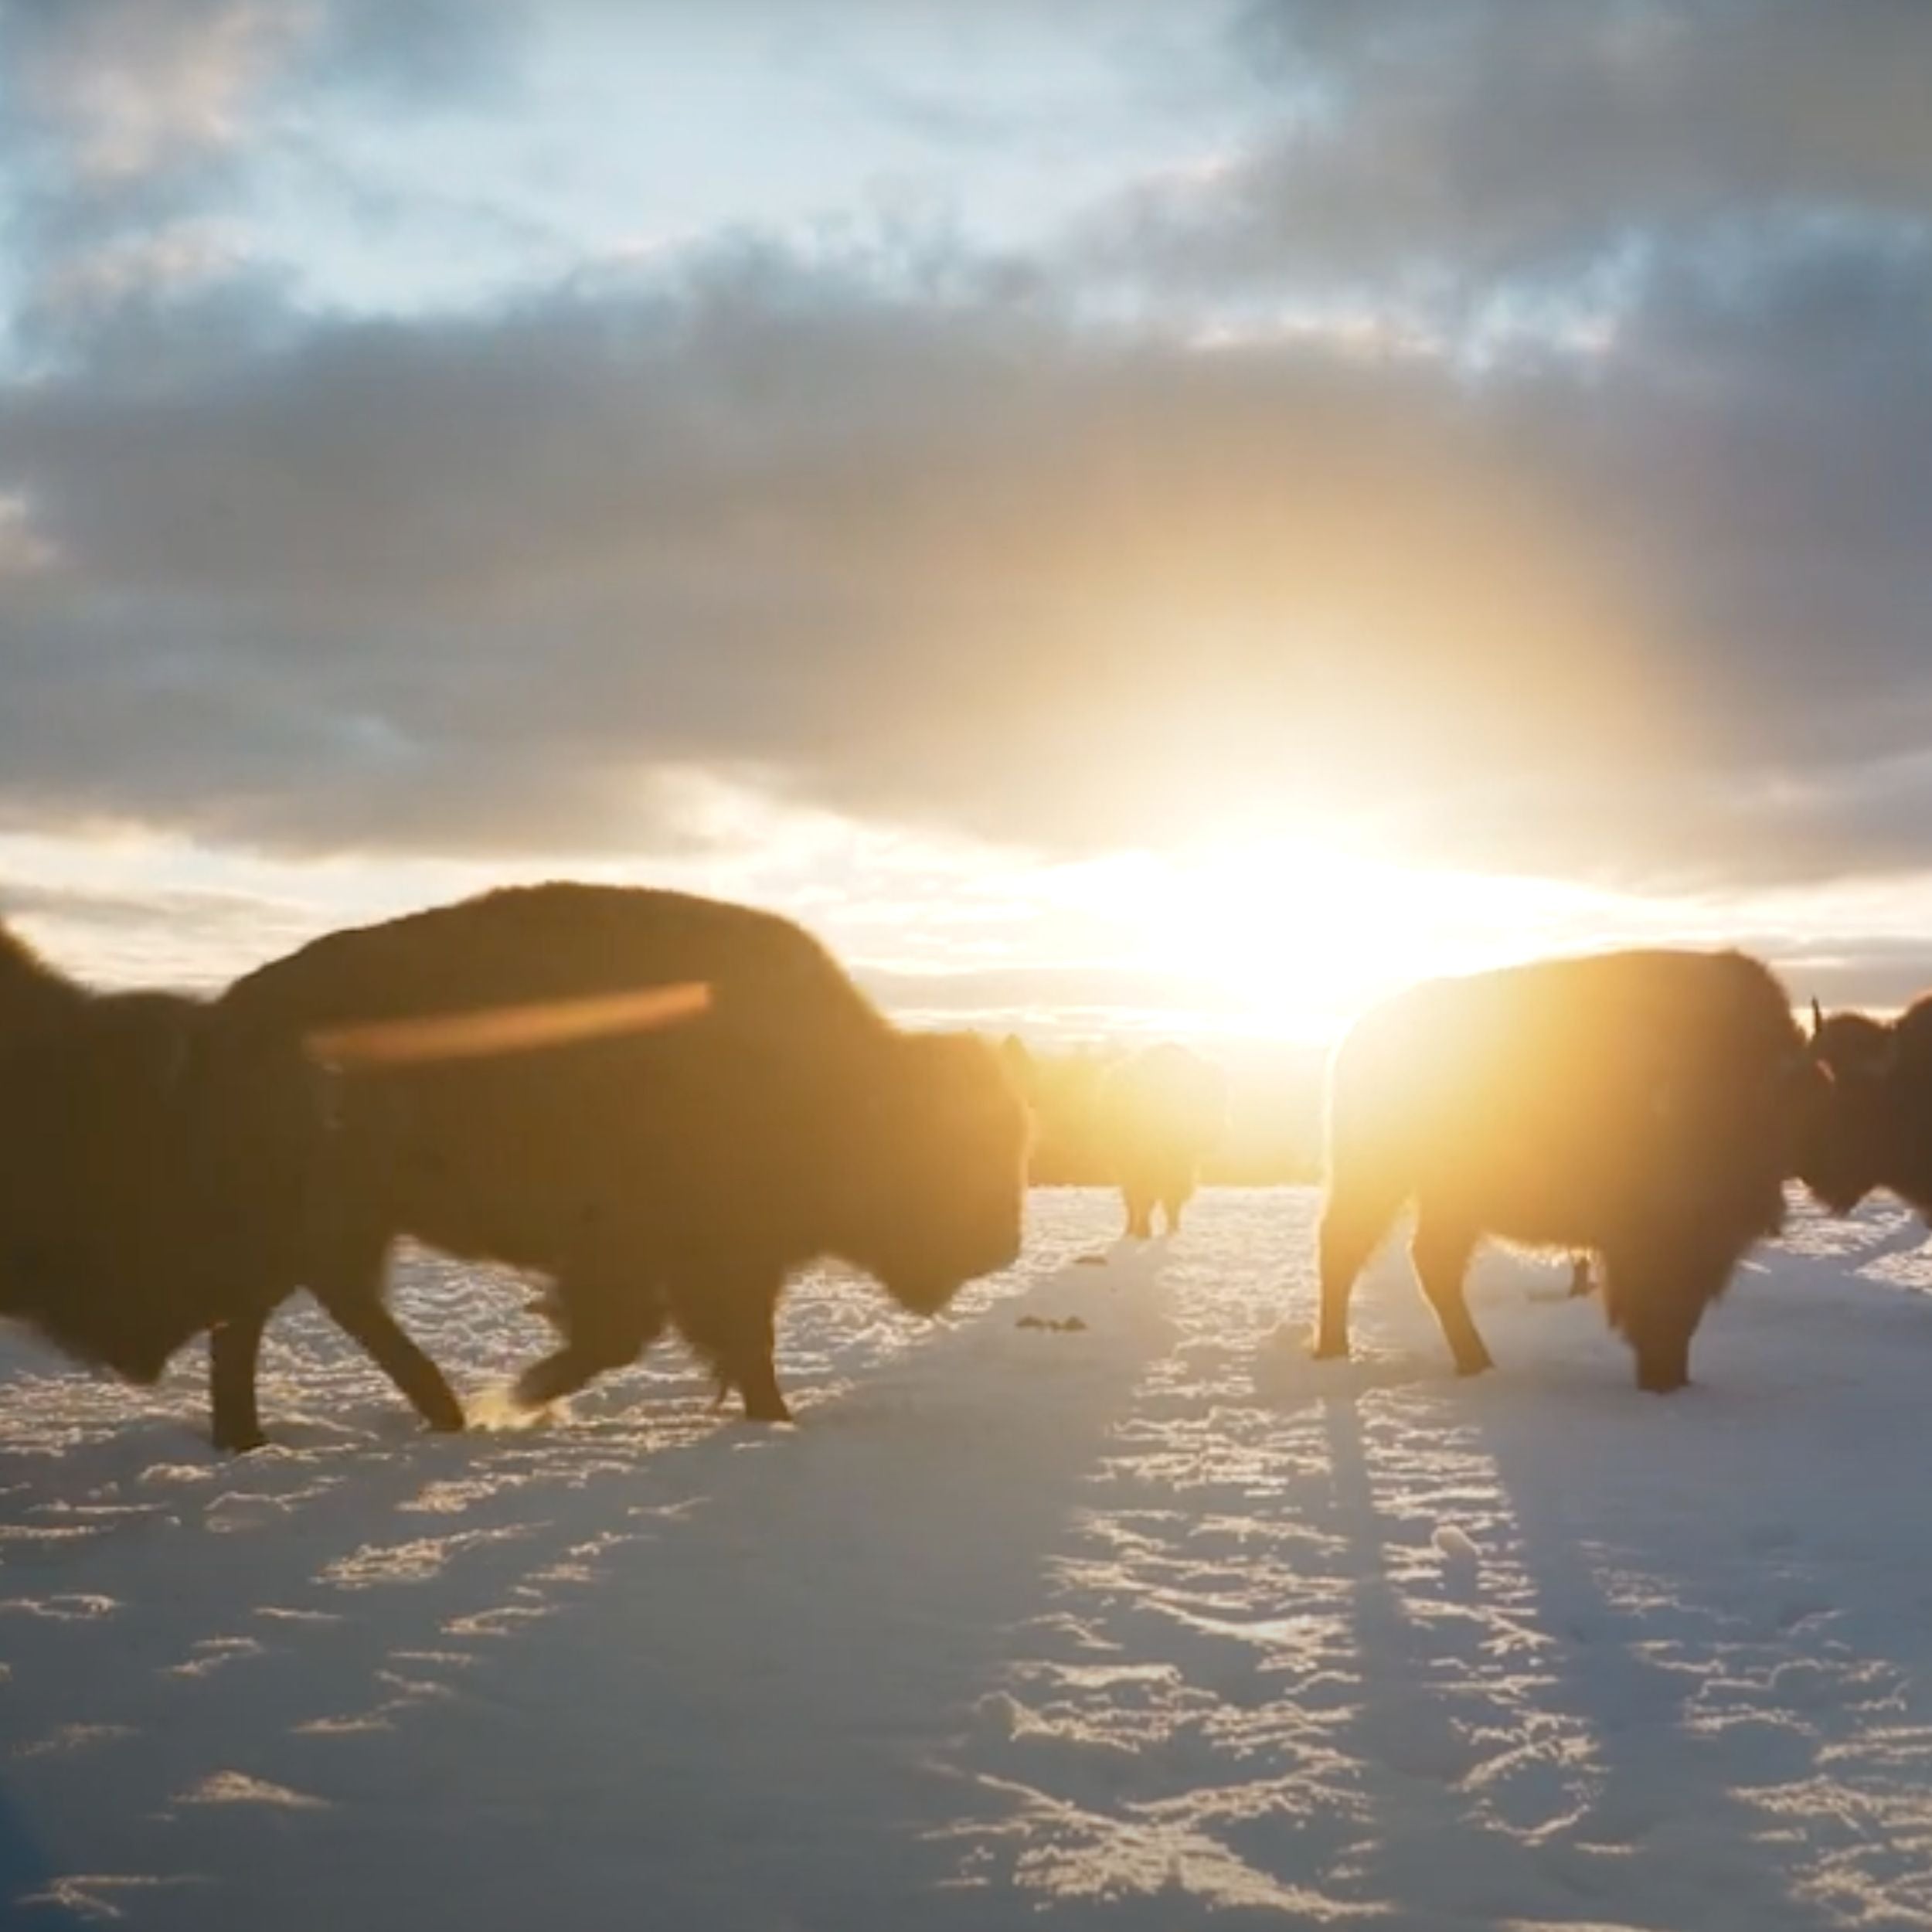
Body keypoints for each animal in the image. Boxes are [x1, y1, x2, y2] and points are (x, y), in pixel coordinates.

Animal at [219, 885, 1036, 1445]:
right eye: (945, 1147)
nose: (1002, 1246)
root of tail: (237, 1009)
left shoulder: (726, 1265)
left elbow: (728, 1343)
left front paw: (772, 1417)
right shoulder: (659, 1255)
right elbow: (649, 1335)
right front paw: (526, 1392)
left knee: (294, 1306)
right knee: (288, 1306)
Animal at [1105, 1043, 1221, 1236]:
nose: (1214, 1133)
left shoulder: (1182, 1171)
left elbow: (1172, 1202)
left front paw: (1173, 1231)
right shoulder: (1140, 1168)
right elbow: (1145, 1200)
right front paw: (1144, 1232)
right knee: (1132, 1200)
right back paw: (1131, 1230)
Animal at [1306, 947, 1816, 1391]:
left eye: (1775, 1115)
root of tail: (1357, 1036)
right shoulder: (1648, 1242)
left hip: (1445, 1201)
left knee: (1428, 1262)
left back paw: (1474, 1363)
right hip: (1379, 1181)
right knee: (1348, 1248)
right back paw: (1340, 1351)